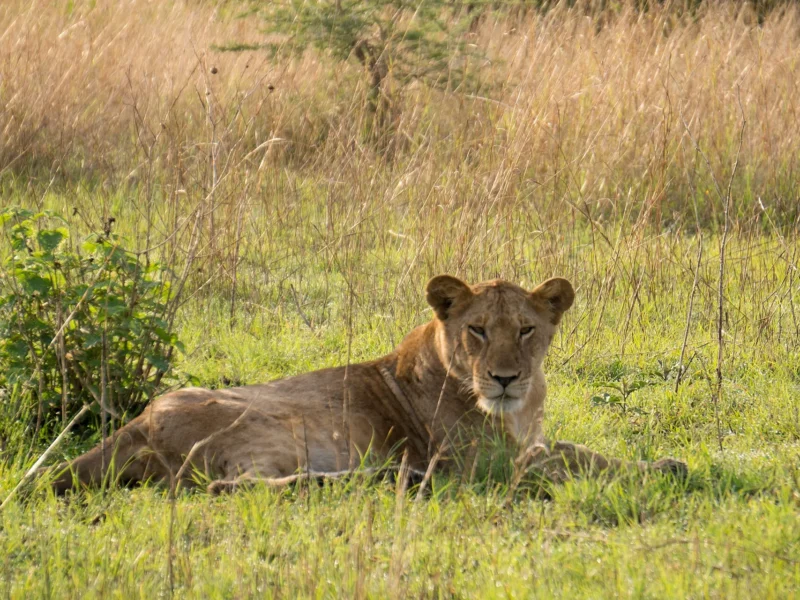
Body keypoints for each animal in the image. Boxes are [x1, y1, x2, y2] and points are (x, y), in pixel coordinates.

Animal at [46, 275, 685, 495]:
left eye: (526, 330)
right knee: (236, 487)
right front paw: (661, 470)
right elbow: (565, 461)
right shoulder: (483, 465)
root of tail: (138, 420)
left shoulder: (525, 441)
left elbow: (571, 448)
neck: (518, 408)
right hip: (278, 425)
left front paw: (667, 464)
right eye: (477, 330)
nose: (505, 377)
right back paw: (391, 478)